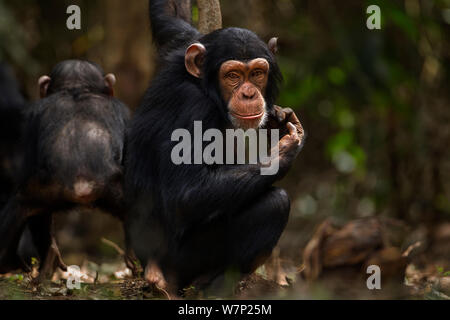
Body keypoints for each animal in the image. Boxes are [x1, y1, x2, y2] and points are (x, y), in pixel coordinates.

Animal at [125, 0, 304, 294]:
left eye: (257, 74)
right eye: (233, 75)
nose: (249, 94)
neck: (205, 88)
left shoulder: (185, 41)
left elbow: (171, 19)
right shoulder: (194, 111)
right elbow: (184, 194)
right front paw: (285, 149)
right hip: (183, 260)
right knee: (275, 203)